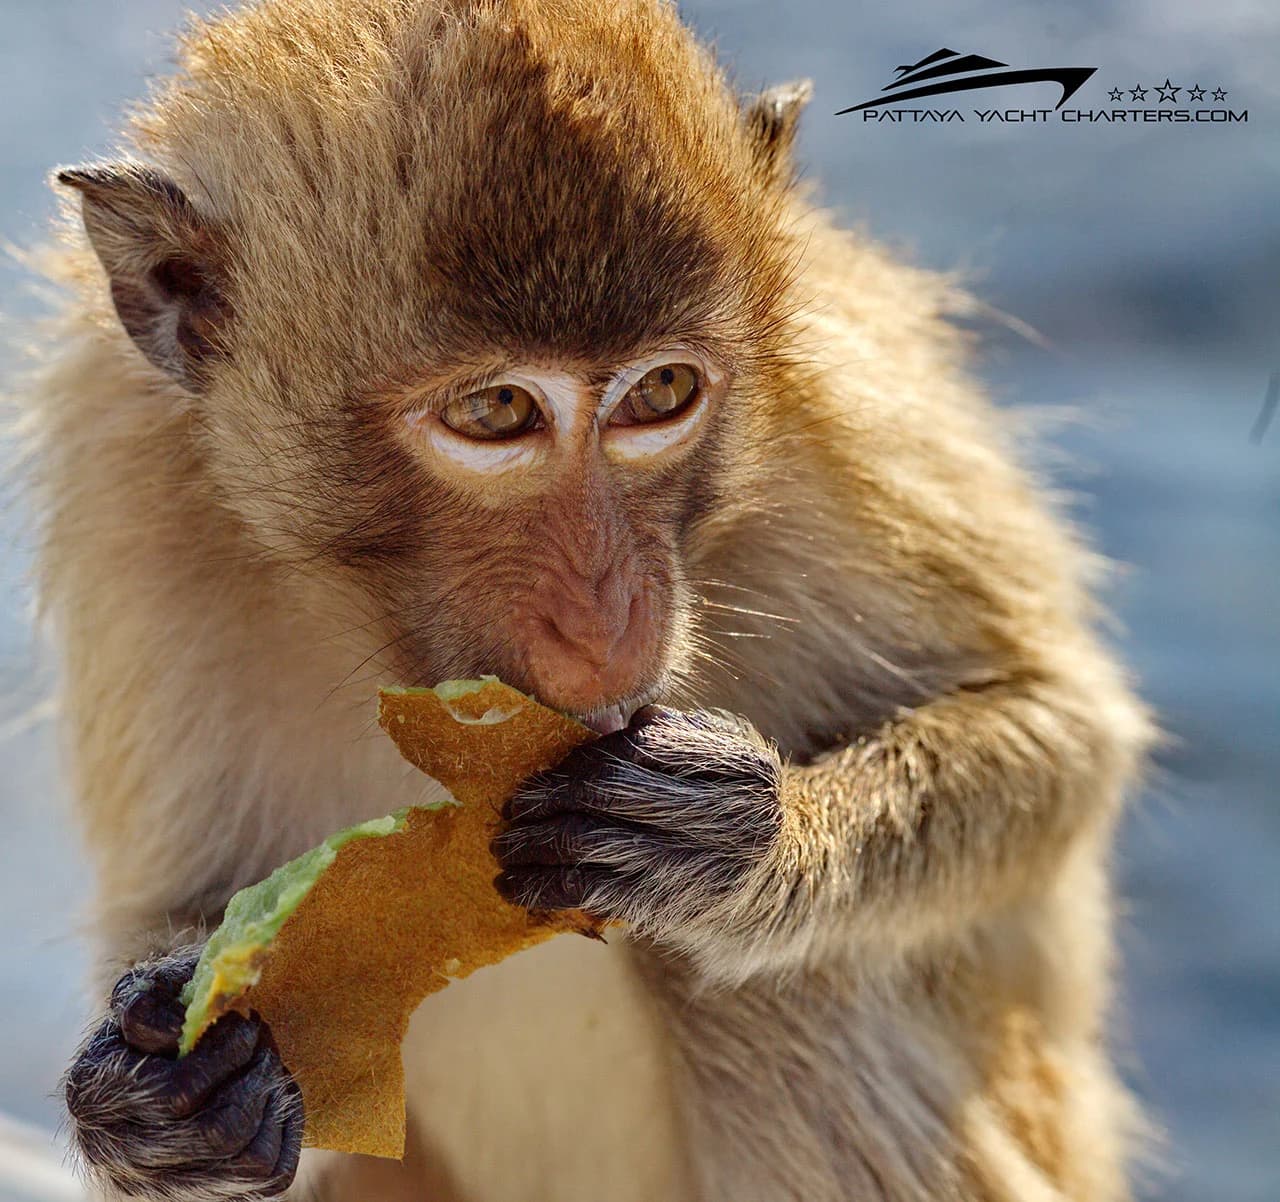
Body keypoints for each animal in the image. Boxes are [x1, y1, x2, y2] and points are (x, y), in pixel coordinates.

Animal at [19, 0, 1154, 1199]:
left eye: (662, 392)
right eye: (497, 412)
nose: (611, 615)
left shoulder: (840, 408)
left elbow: (1056, 725)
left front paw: (749, 840)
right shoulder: (127, 493)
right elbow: (190, 909)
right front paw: (165, 1101)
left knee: (788, 988)